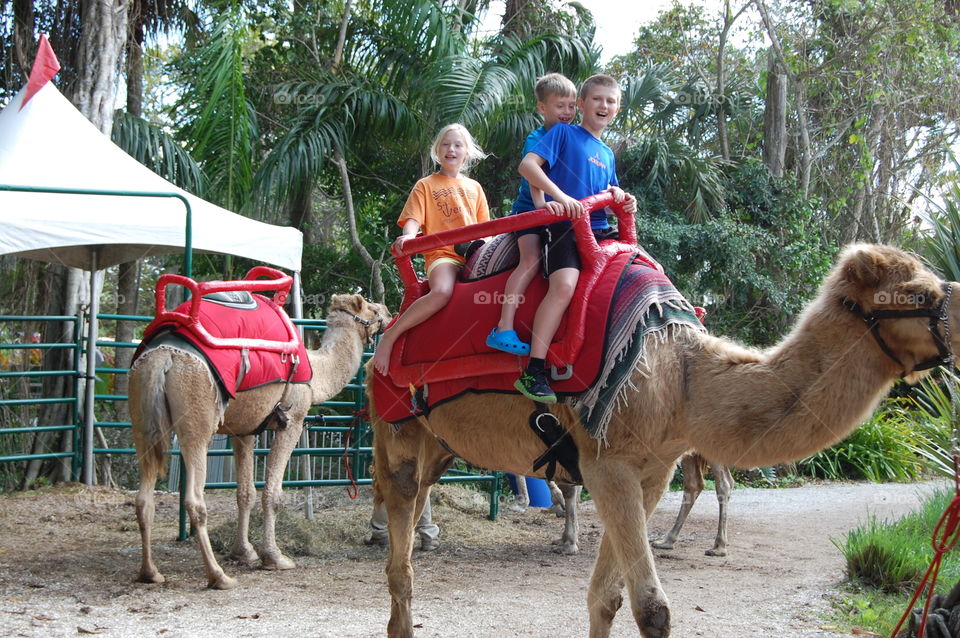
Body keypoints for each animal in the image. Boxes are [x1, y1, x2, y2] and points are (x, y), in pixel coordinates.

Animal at [130, 293, 390, 589]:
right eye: (370, 308)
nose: (388, 311)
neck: (316, 373)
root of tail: (163, 356)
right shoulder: (292, 421)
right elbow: (272, 493)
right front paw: (274, 557)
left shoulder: (243, 430)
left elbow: (245, 493)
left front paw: (244, 553)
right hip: (195, 420)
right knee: (195, 500)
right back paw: (218, 576)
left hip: (141, 418)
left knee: (143, 499)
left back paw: (150, 572)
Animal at [368, 244, 959, 637]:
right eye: (918, 292)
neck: (683, 381)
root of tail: (390, 328)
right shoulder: (606, 463)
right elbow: (652, 608)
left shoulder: (653, 471)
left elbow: (605, 597)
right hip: (395, 428)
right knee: (398, 546)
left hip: (440, 445)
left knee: (416, 518)